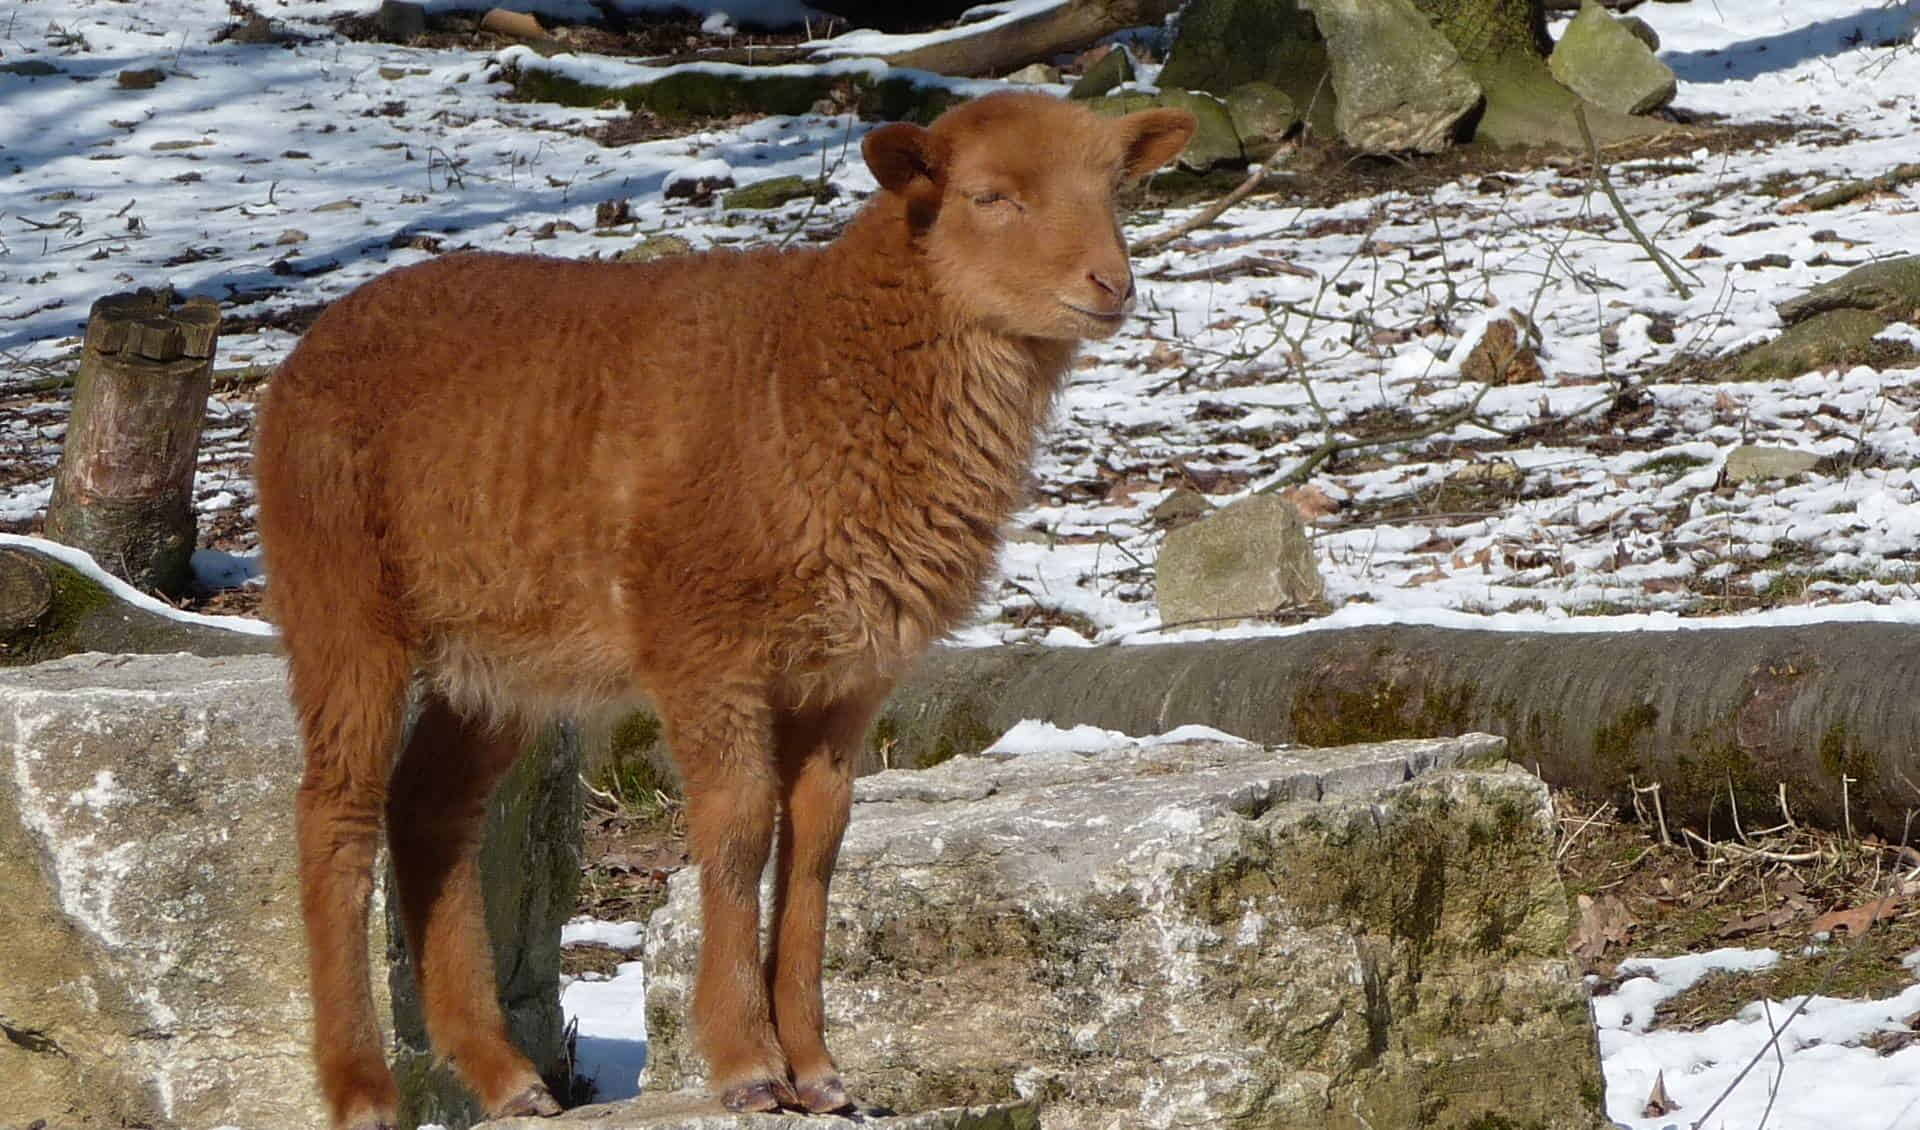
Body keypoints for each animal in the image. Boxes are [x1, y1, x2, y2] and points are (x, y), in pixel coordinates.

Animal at [251, 90, 1182, 1128]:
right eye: (989, 197)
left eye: (1114, 189)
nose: (1111, 284)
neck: (819, 365)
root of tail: (307, 349)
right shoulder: (702, 643)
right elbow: (736, 830)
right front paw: (746, 1063)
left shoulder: (851, 670)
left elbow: (816, 841)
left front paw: (818, 1069)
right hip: (338, 588)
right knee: (336, 812)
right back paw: (361, 1088)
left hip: (498, 655)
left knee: (430, 811)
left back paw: (505, 1077)